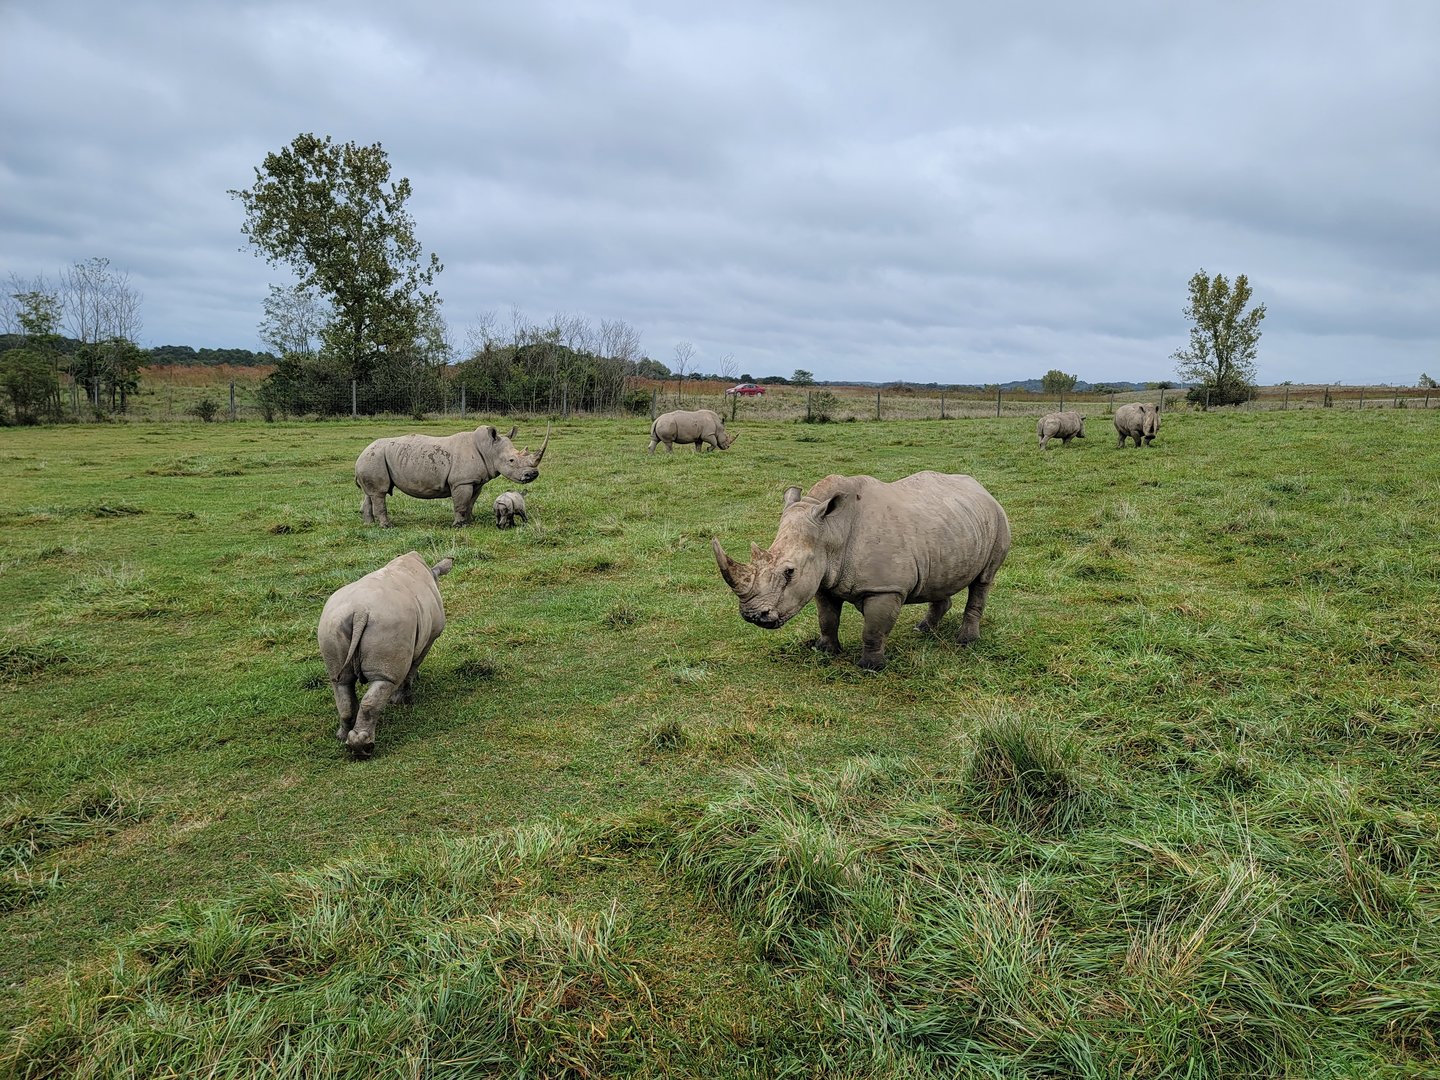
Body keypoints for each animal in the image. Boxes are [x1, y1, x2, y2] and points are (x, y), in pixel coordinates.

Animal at [317, 551, 453, 756]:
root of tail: (360, 613)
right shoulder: (430, 637)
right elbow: (412, 667)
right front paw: (401, 700)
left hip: (332, 624)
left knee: (340, 683)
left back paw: (342, 737)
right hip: (388, 625)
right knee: (385, 680)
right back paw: (364, 748)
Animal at [355, 424, 548, 526]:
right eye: (511, 460)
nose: (533, 474)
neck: (488, 449)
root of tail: (361, 454)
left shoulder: (476, 481)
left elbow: (471, 502)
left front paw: (470, 521)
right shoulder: (461, 482)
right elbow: (461, 503)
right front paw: (459, 526)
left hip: (373, 459)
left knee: (370, 493)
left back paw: (369, 524)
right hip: (374, 458)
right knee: (379, 493)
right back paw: (387, 526)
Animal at [712, 471, 1011, 671]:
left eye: (789, 572)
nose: (753, 616)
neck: (831, 530)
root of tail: (982, 488)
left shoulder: (885, 588)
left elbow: (873, 629)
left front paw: (870, 667)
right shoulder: (823, 580)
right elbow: (827, 619)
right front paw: (825, 651)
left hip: (998, 519)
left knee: (983, 581)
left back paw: (966, 642)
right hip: (951, 526)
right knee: (941, 578)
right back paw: (922, 630)